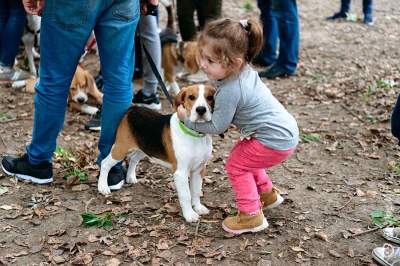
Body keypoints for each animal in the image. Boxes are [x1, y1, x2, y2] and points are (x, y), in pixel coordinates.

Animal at [97, 84, 216, 223]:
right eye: (191, 97)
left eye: (210, 97)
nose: (201, 110)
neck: (194, 134)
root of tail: (133, 108)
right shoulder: (180, 173)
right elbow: (186, 195)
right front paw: (189, 214)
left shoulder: (199, 169)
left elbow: (196, 191)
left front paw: (198, 207)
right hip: (121, 148)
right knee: (105, 163)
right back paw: (103, 187)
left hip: (143, 148)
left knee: (133, 159)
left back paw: (130, 177)